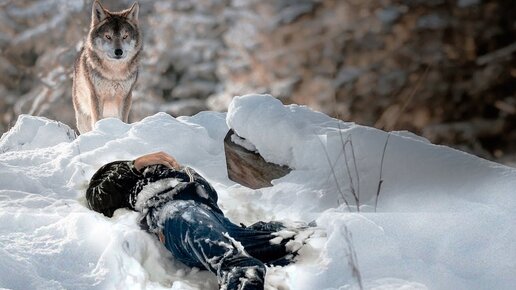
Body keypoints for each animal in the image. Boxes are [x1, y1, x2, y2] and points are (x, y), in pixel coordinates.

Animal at [72, 0, 141, 134]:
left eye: (125, 36)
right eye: (108, 36)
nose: (118, 51)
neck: (114, 73)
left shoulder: (126, 96)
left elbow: (123, 119)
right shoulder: (96, 96)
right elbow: (97, 119)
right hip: (82, 118)